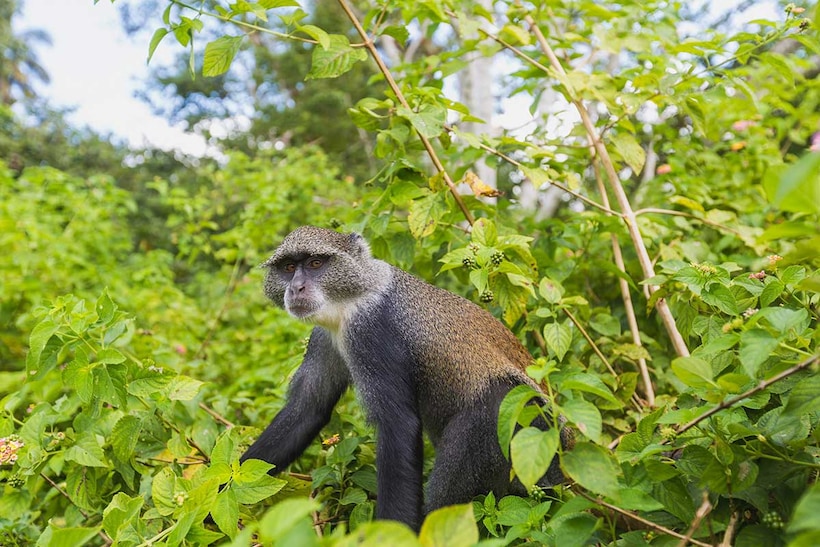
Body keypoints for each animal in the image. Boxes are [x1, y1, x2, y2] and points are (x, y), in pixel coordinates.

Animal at [240, 226, 568, 532]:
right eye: (288, 267)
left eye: (316, 263)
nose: (297, 287)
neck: (354, 294)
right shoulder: (325, 335)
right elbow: (308, 407)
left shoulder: (370, 329)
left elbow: (398, 425)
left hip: (519, 427)